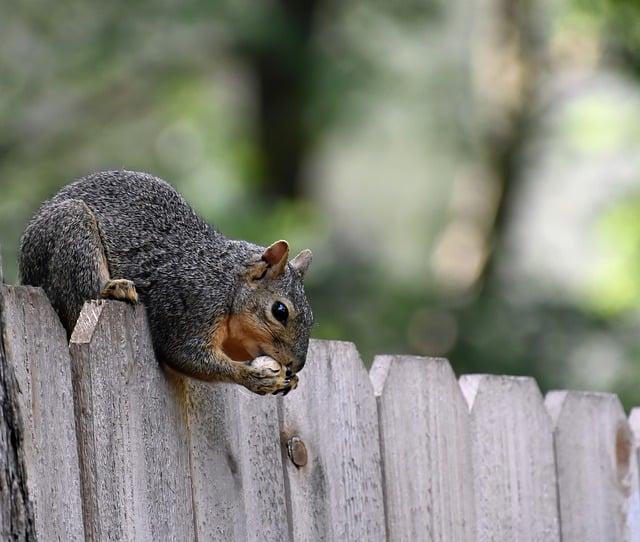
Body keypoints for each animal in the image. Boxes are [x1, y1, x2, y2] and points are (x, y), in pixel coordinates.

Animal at [21, 170, 316, 396]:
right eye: (280, 311)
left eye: (312, 319)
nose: (297, 365)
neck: (227, 284)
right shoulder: (190, 305)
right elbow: (184, 354)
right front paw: (253, 377)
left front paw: (293, 380)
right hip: (72, 231)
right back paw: (115, 288)